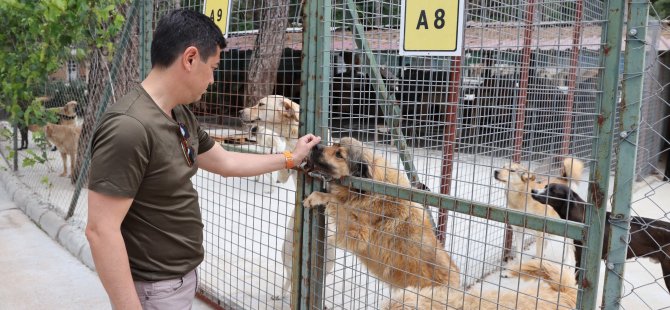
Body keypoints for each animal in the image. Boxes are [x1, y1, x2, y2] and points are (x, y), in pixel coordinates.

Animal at [304, 137, 462, 290]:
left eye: (339, 154)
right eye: (333, 144)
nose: (315, 146)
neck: (366, 189)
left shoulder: (358, 232)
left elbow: (337, 201)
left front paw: (317, 197)